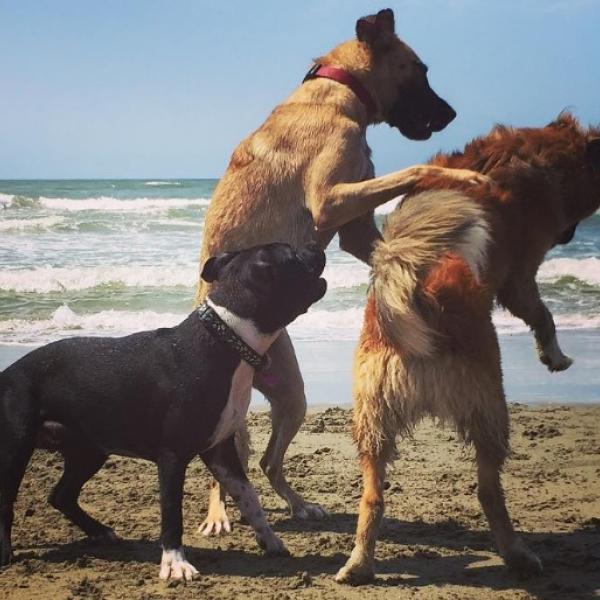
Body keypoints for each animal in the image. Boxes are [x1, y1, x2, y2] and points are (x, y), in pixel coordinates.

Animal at [0, 241, 326, 580]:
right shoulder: (172, 457)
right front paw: (175, 562)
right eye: (293, 254)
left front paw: (269, 539)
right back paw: (6, 551)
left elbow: (248, 495)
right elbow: (172, 513)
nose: (315, 246)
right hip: (17, 446)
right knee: (6, 500)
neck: (226, 338)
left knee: (61, 495)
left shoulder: (219, 450)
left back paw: (100, 532)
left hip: (89, 450)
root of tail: (7, 373)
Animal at [195, 8, 486, 536]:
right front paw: (461, 176)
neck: (337, 90)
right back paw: (217, 512)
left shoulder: (353, 229)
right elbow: (414, 170)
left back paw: (299, 504)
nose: (451, 115)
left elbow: (387, 248)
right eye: (420, 70)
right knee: (225, 464)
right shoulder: (331, 200)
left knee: (267, 461)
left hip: (292, 395)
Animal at [336, 113, 600, 584]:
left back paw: (359, 564)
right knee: (489, 490)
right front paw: (554, 355)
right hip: (490, 404)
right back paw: (518, 555)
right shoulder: (520, 276)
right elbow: (542, 314)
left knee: (373, 495)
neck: (543, 157)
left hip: (372, 417)